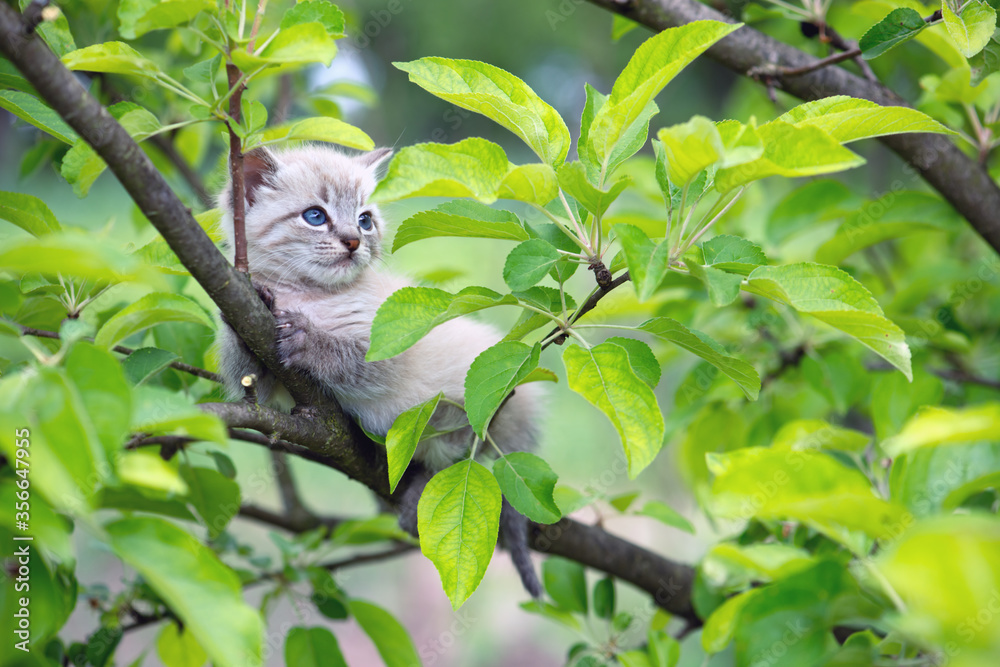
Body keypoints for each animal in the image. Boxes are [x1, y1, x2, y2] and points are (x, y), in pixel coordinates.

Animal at [217, 145, 548, 596]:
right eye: (315, 216)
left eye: (364, 219)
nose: (354, 241)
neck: (308, 295)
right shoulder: (261, 377)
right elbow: (246, 364)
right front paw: (257, 304)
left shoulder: (391, 346)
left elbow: (349, 358)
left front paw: (310, 340)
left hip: (488, 404)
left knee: (476, 452)